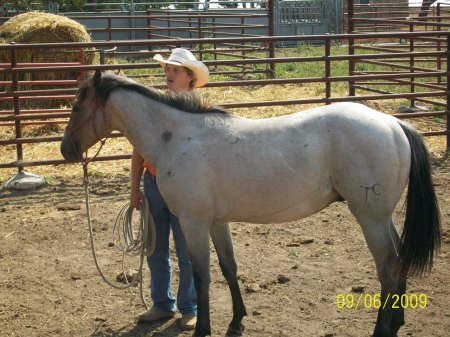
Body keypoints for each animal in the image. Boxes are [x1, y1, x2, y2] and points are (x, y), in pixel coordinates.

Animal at [61, 71, 442, 336]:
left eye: (77, 106)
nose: (66, 150)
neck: (177, 136)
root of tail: (394, 124)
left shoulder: (193, 222)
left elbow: (200, 275)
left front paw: (203, 328)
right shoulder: (217, 222)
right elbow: (229, 268)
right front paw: (237, 321)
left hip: (370, 218)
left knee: (388, 268)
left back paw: (382, 329)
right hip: (382, 217)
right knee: (400, 260)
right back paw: (398, 320)